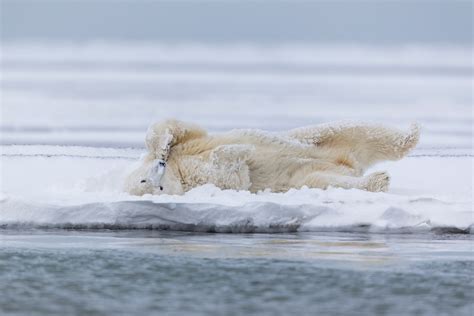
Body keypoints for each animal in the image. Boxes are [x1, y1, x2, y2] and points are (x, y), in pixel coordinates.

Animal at [124, 120, 420, 196]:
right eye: (147, 184)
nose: (161, 164)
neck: (180, 173)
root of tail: (350, 164)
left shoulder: (192, 143)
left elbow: (170, 128)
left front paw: (163, 146)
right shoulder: (204, 180)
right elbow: (233, 174)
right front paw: (240, 151)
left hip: (320, 139)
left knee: (360, 131)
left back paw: (412, 131)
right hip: (306, 178)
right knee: (330, 179)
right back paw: (379, 179)